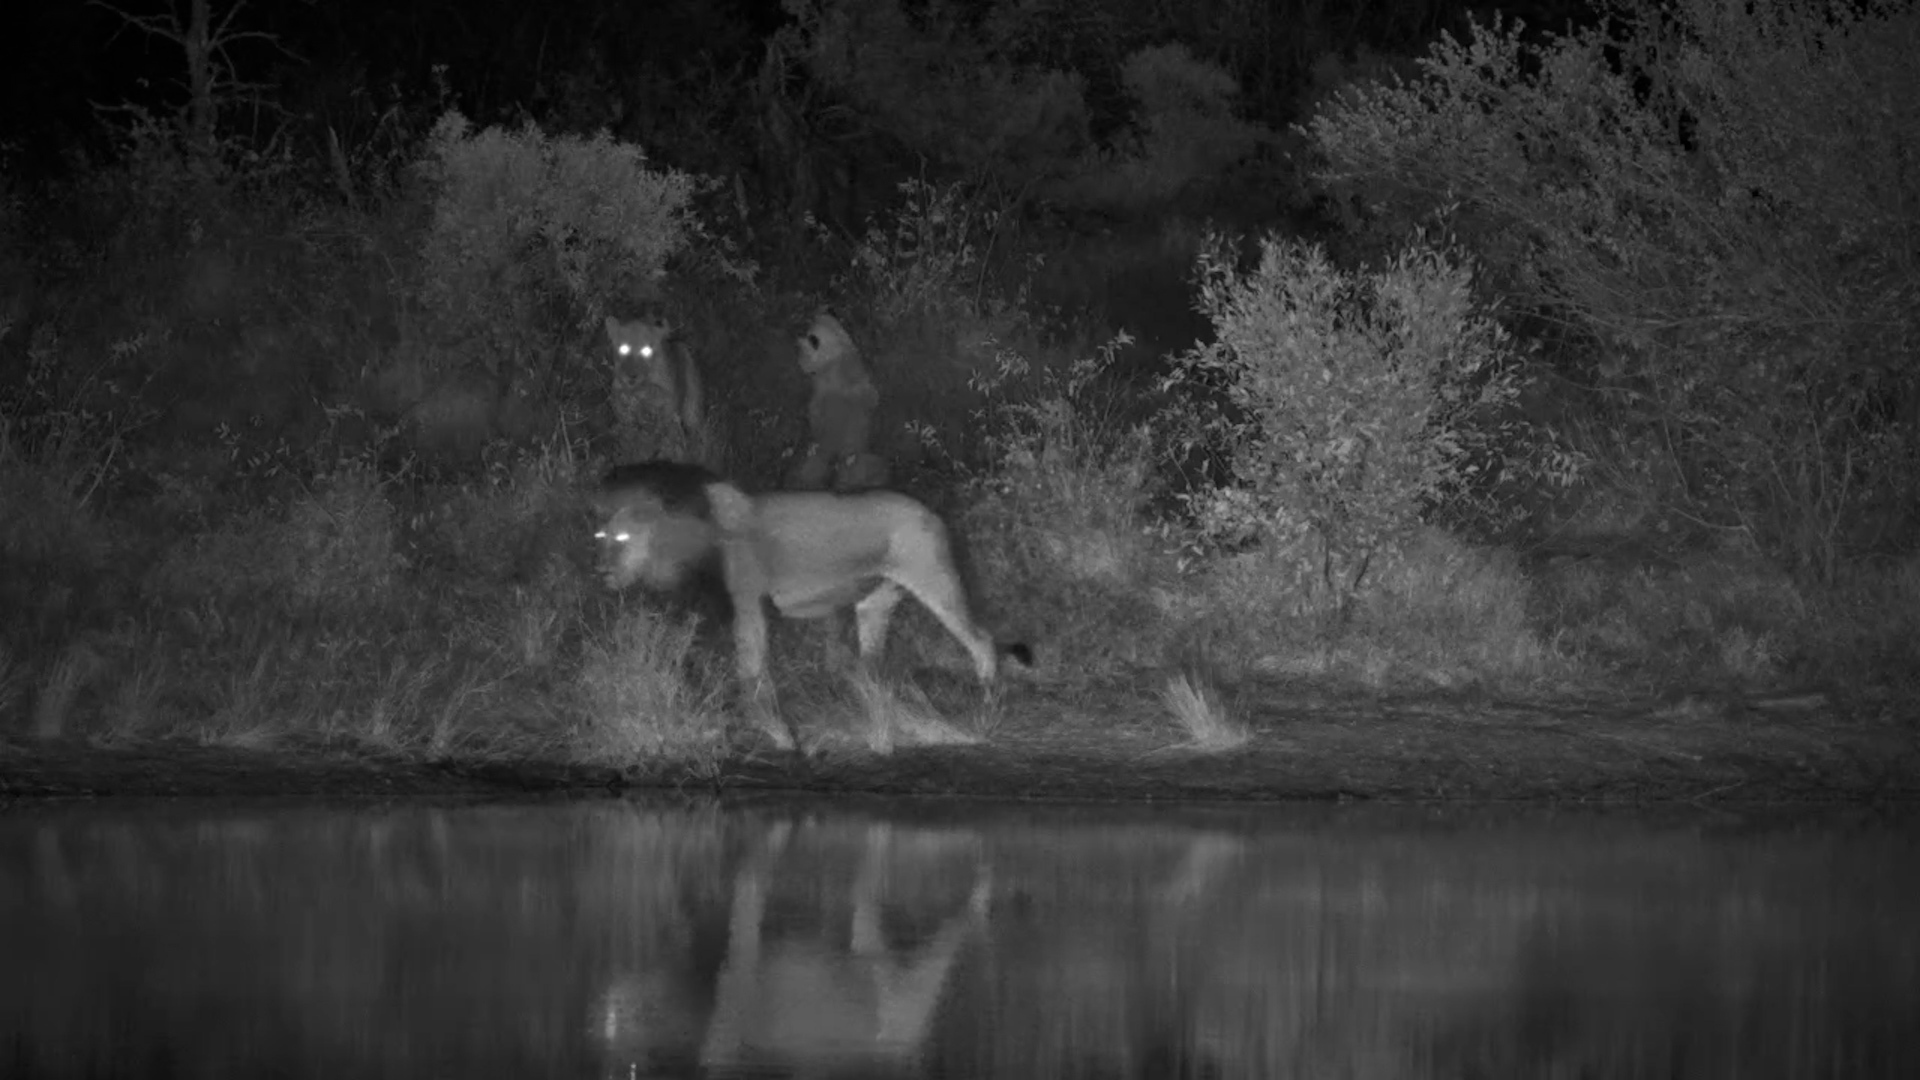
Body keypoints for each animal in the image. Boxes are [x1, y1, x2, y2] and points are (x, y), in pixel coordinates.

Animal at [592, 460, 1030, 706]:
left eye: (623, 538)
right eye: (601, 537)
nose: (602, 572)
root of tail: (932, 513)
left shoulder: (748, 603)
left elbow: (749, 664)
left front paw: (756, 710)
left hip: (936, 584)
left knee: (981, 640)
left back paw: (988, 699)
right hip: (873, 604)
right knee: (873, 661)